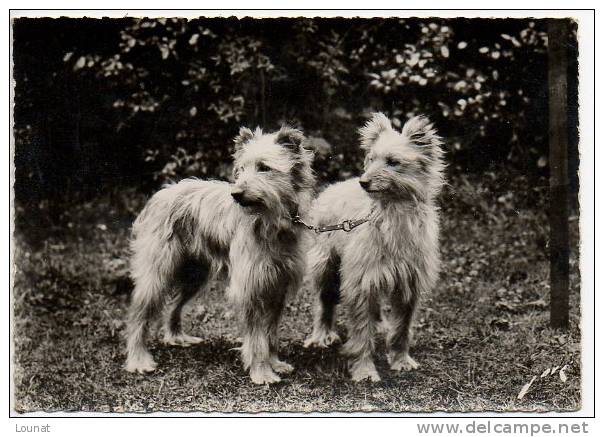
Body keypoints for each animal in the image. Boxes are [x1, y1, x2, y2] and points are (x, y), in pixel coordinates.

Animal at [124, 124, 314, 384]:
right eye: (241, 169)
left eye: (264, 167)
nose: (236, 193)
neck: (271, 224)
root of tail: (160, 195)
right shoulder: (250, 288)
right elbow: (257, 338)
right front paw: (262, 371)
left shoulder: (277, 287)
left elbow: (270, 333)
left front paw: (275, 362)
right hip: (157, 273)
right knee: (138, 315)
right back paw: (138, 360)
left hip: (194, 275)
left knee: (173, 305)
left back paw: (176, 337)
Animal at [306, 113, 444, 382]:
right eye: (371, 159)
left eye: (393, 162)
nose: (364, 182)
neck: (393, 212)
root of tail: (334, 187)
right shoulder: (360, 284)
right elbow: (361, 333)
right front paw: (364, 369)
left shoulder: (408, 284)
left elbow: (402, 328)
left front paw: (401, 360)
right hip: (327, 267)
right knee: (324, 302)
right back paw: (322, 334)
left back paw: (379, 323)